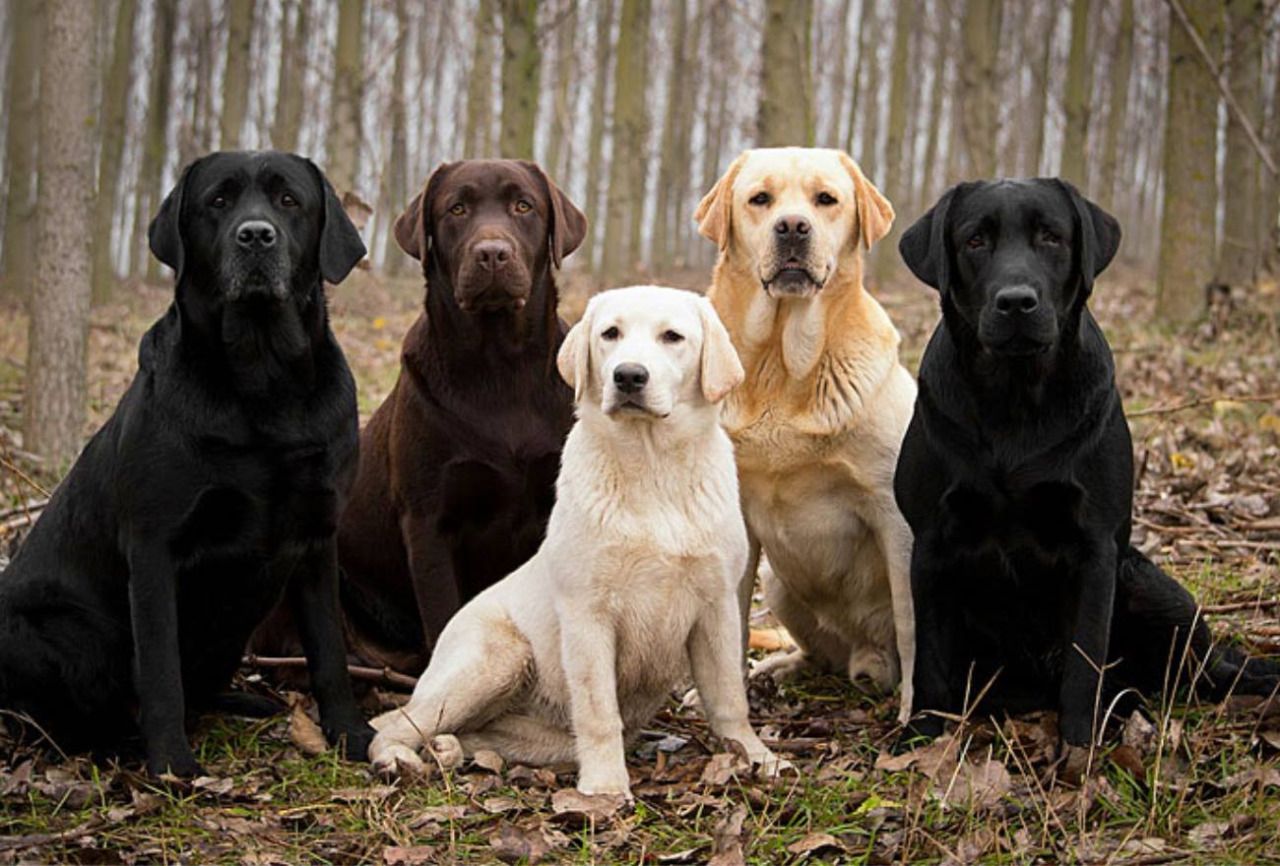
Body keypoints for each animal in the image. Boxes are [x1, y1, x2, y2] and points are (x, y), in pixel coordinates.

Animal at [368, 285, 788, 798]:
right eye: (610, 334)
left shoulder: (717, 606)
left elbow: (729, 698)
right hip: (499, 656)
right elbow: (598, 711)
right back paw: (397, 760)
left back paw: (446, 750)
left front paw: (755, 756)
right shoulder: (589, 615)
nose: (628, 376)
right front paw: (606, 788)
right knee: (393, 721)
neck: (651, 469)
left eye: (672, 337)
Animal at [696, 150, 916, 721]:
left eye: (826, 200)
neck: (780, 362)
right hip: (778, 583)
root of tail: (866, 653)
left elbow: (913, 626)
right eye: (760, 199)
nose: (793, 227)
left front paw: (917, 713)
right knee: (821, 655)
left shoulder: (896, 515)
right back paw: (784, 667)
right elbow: (730, 624)